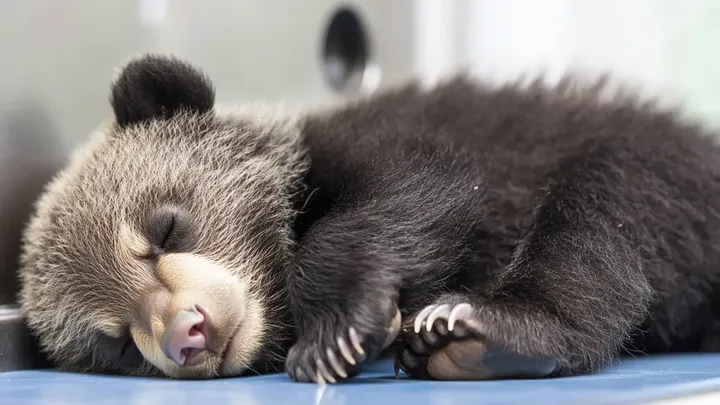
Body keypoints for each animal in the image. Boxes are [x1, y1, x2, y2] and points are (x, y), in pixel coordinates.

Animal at [17, 53, 720, 383]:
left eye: (163, 229)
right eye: (113, 341)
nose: (186, 332)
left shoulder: (398, 140)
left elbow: (422, 186)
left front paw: (336, 333)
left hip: (652, 170)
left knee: (600, 226)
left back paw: (478, 330)